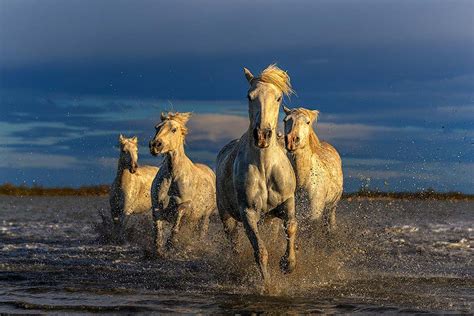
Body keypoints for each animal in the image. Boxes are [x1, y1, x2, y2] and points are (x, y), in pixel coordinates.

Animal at [149, 111, 218, 254]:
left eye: (174, 129)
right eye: (157, 127)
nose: (155, 145)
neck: (172, 175)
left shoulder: (184, 205)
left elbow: (176, 224)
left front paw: (171, 244)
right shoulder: (157, 206)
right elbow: (158, 231)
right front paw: (158, 250)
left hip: (205, 216)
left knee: (201, 232)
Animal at [218, 65, 298, 286]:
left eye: (278, 98)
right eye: (249, 96)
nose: (262, 135)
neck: (265, 167)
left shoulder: (288, 201)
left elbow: (291, 227)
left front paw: (288, 264)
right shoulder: (249, 213)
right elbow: (260, 251)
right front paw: (268, 286)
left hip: (269, 219)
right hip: (227, 217)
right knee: (234, 243)